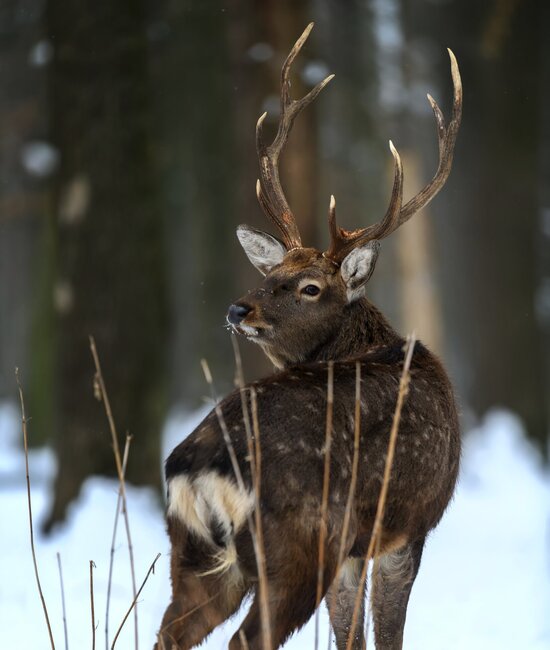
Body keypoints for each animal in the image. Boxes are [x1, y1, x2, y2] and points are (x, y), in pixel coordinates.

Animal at [157, 22, 464, 648]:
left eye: (308, 286)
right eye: (270, 271)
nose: (237, 307)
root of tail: (196, 464)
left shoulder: (357, 548)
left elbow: (350, 633)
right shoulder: (408, 526)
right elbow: (387, 633)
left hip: (195, 554)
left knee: (168, 632)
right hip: (300, 542)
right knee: (247, 637)